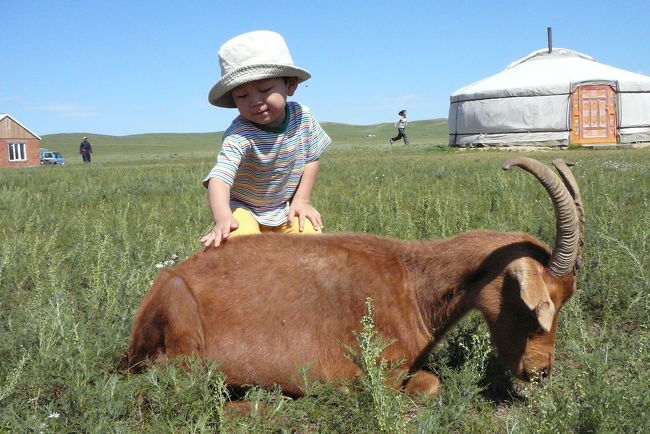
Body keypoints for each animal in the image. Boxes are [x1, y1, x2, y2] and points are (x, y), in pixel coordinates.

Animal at [121, 158, 584, 398]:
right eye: (536, 307)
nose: (541, 370)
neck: (413, 282)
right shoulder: (380, 368)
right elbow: (428, 384)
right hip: (181, 324)